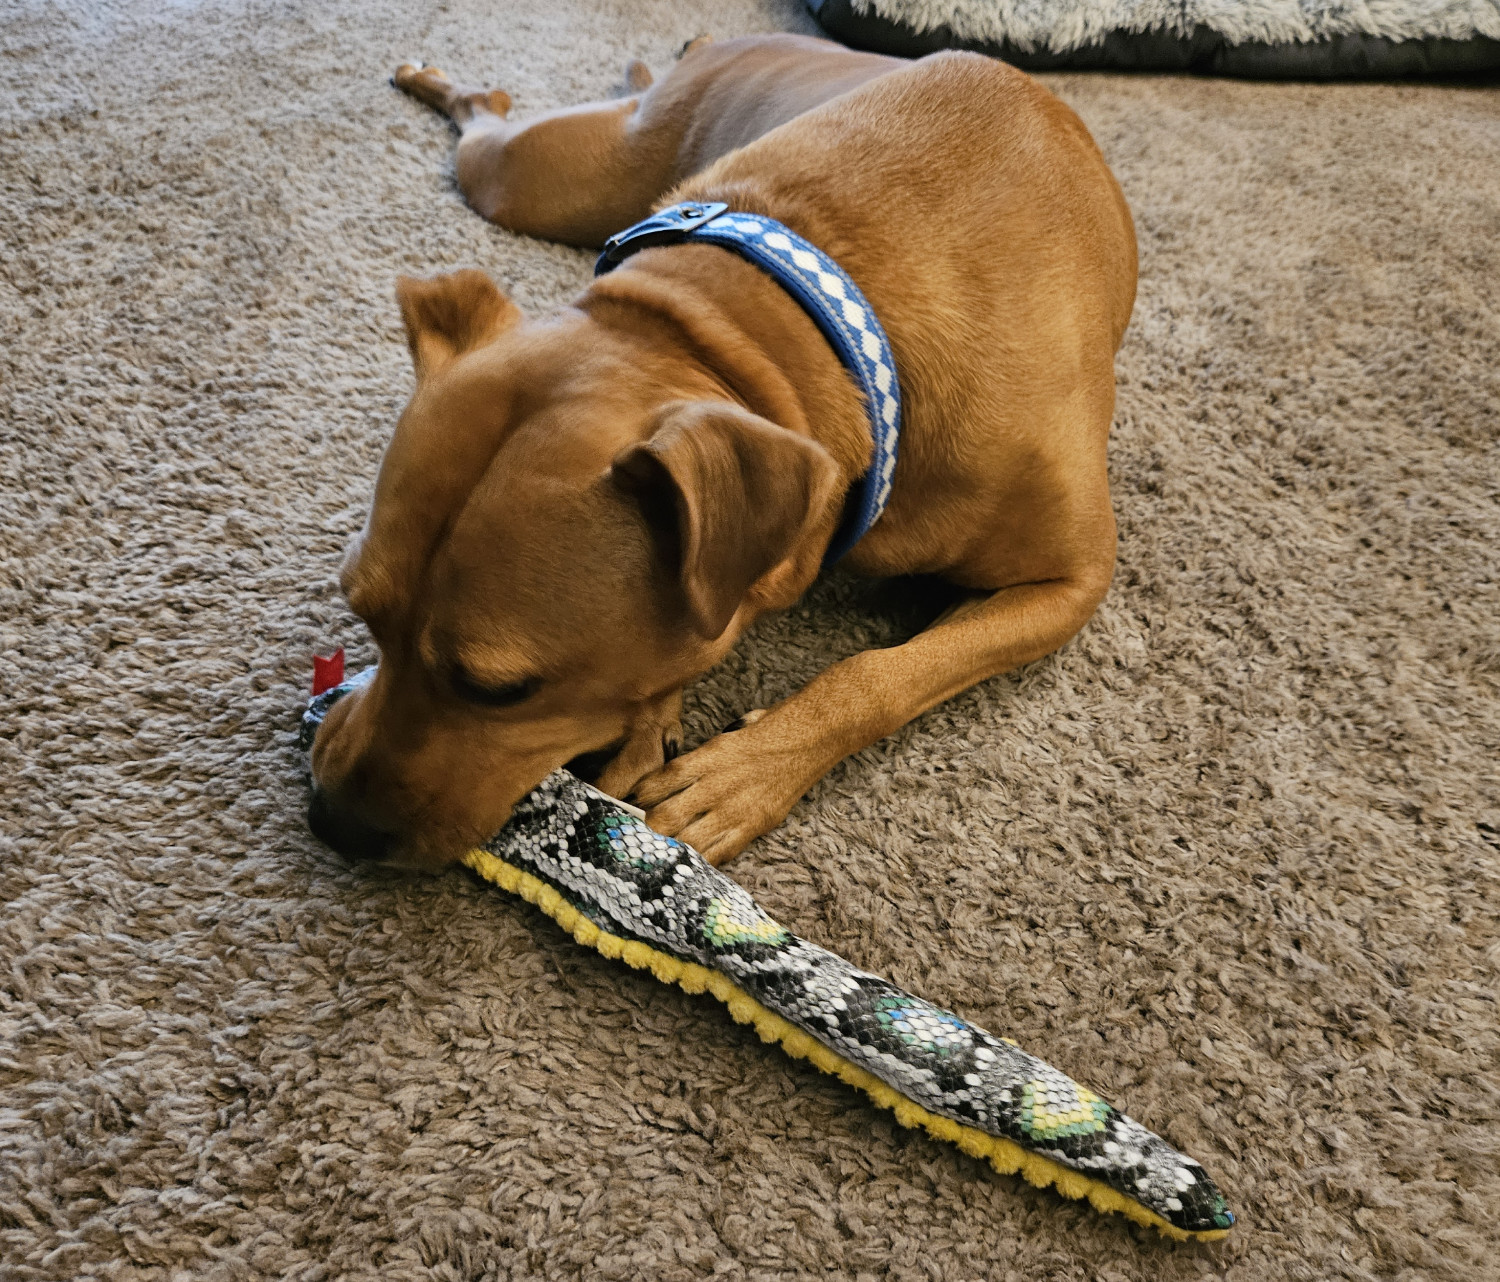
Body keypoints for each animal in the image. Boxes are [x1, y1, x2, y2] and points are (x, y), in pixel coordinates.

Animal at [316, 32, 1134, 869]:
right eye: (360, 610)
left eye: (498, 691)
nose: (331, 824)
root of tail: (726, 41)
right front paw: (654, 718)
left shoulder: (1073, 582)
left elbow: (879, 676)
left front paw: (744, 773)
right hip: (541, 174)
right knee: (489, 112)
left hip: (535, 175)